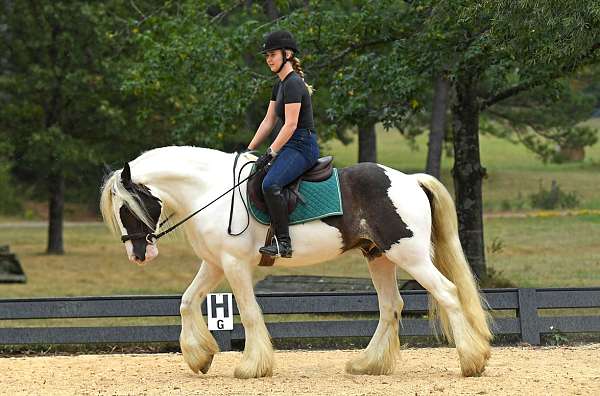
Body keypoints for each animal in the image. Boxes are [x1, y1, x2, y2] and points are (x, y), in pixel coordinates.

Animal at [99, 145, 492, 378]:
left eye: (127, 208)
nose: (139, 255)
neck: (209, 191)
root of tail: (409, 180)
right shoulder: (214, 264)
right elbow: (186, 301)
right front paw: (200, 356)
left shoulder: (234, 265)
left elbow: (249, 312)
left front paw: (252, 366)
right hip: (379, 257)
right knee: (390, 306)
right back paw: (368, 363)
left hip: (409, 255)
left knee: (448, 293)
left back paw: (471, 361)